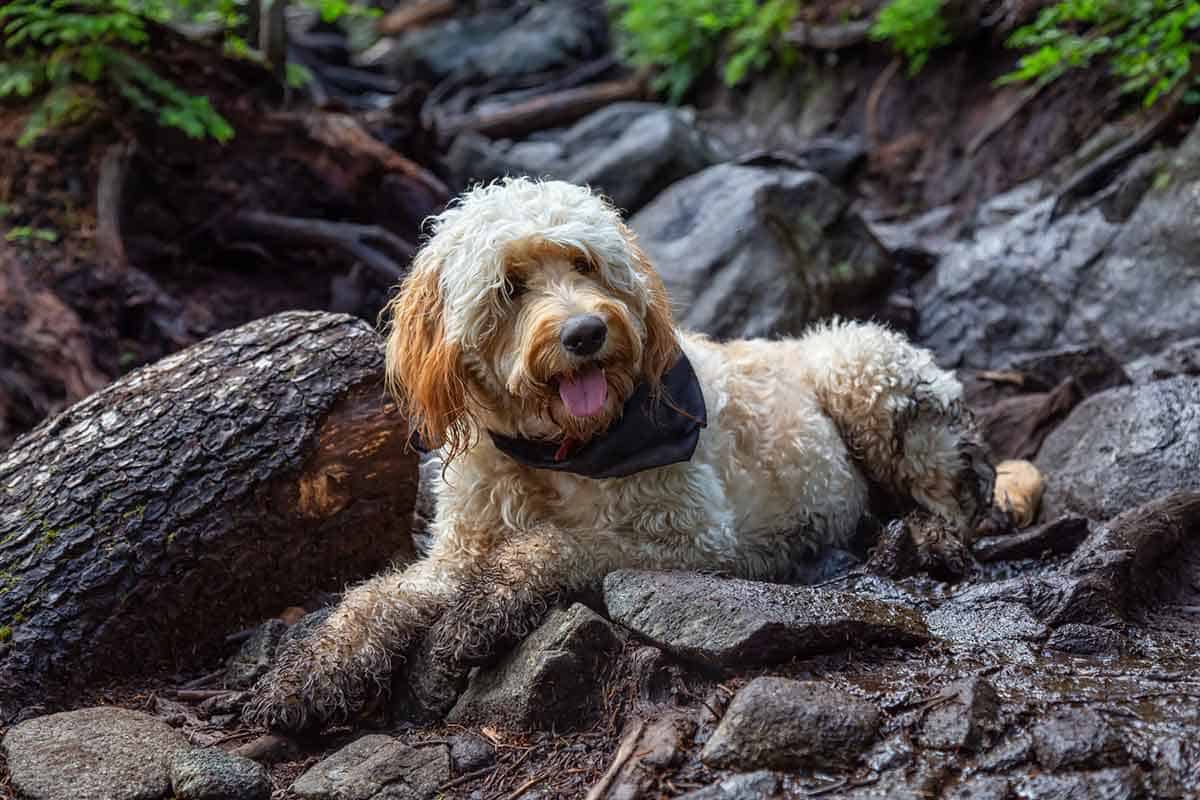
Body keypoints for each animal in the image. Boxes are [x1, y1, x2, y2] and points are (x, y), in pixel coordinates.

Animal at [246, 176, 993, 734]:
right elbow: (380, 598)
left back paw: (927, 536)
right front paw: (314, 669)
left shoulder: (695, 540)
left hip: (861, 371)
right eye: (509, 285)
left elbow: (553, 547)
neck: (555, 451)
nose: (585, 333)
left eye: (584, 263)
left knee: (952, 492)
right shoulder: (456, 551)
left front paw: (473, 619)